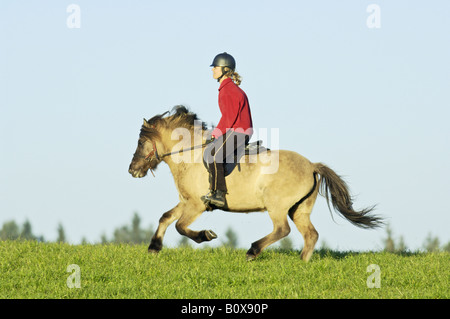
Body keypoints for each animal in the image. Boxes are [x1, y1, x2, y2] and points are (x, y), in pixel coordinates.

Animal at [127, 106, 384, 262]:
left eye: (140, 142)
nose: (132, 170)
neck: (190, 155)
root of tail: (312, 165)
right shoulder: (186, 201)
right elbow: (165, 217)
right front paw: (153, 247)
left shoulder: (197, 205)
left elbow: (180, 226)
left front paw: (206, 235)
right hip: (299, 208)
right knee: (310, 234)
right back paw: (302, 262)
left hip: (277, 205)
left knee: (282, 230)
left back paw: (253, 250)